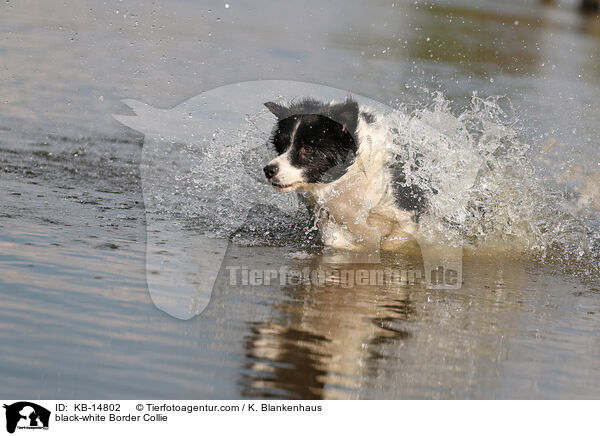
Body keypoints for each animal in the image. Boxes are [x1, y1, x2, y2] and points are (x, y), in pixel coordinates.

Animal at [262, 96, 426, 250]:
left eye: (307, 148)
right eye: (281, 146)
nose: (268, 170)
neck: (349, 179)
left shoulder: (407, 210)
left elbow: (395, 239)